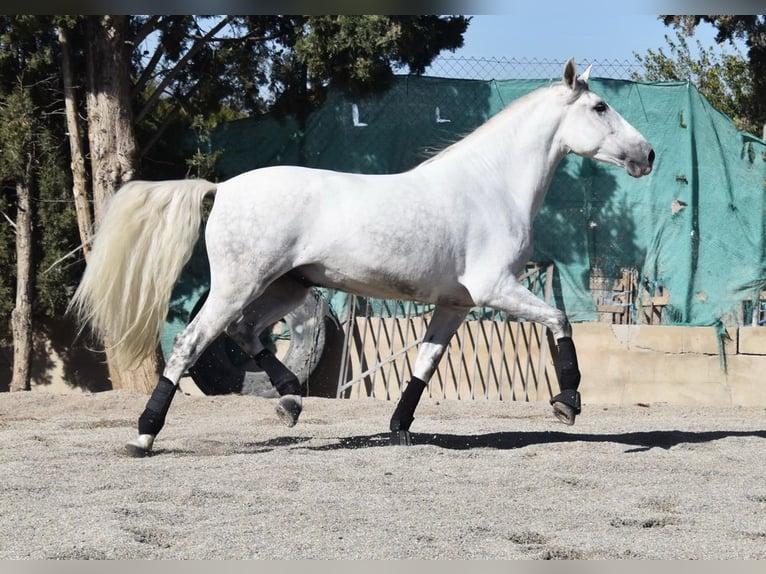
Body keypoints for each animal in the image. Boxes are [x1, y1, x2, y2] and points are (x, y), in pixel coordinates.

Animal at [69, 59, 654, 456]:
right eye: (600, 107)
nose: (647, 154)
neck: (490, 186)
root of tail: (223, 188)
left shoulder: (456, 304)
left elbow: (424, 363)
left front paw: (398, 430)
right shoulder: (496, 289)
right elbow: (559, 320)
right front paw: (568, 402)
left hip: (288, 287)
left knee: (246, 332)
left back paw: (290, 401)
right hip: (240, 283)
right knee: (193, 342)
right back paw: (144, 436)